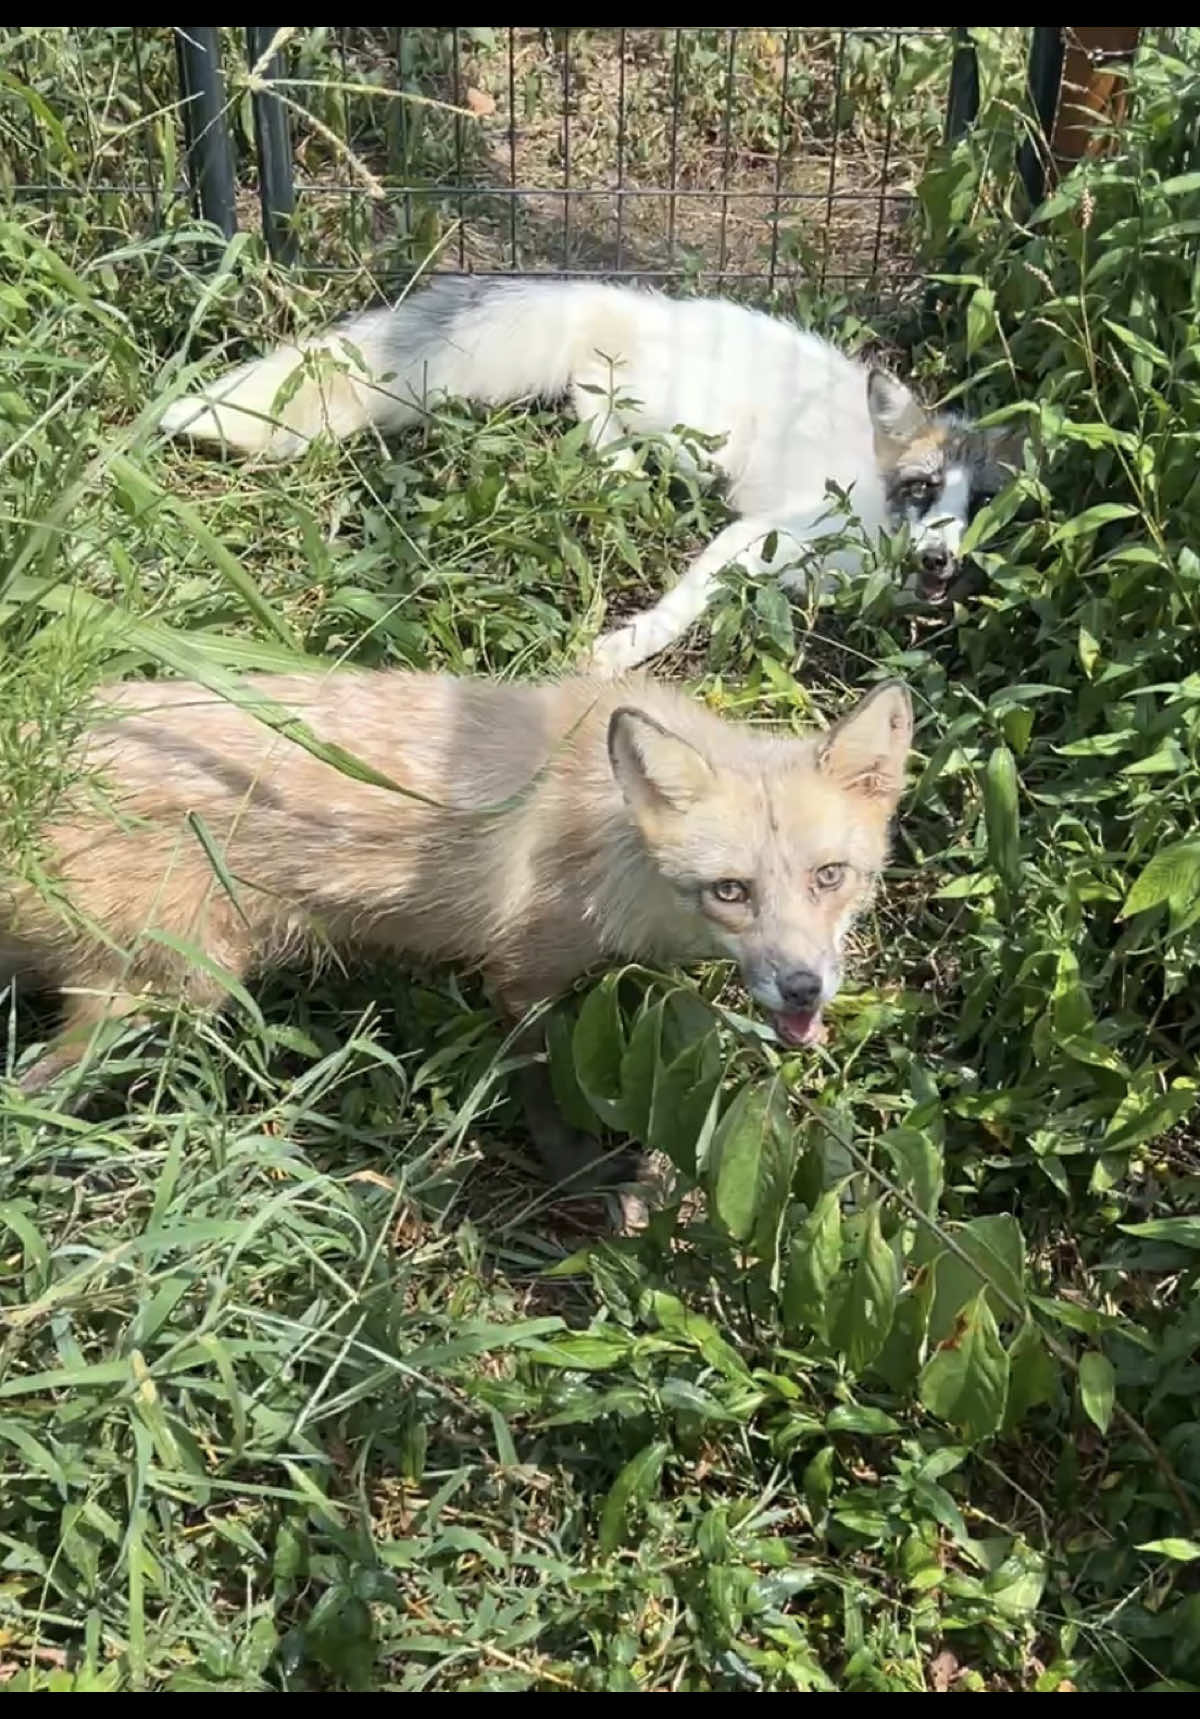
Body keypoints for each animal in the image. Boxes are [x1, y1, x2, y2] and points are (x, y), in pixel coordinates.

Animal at [1, 669, 913, 1191]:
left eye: (830, 877)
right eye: (731, 890)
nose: (802, 987)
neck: (608, 839)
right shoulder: (520, 971)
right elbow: (540, 1086)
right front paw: (579, 1175)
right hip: (169, 992)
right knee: (33, 1092)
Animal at [158, 278, 1023, 671]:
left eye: (982, 504)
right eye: (921, 489)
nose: (939, 559)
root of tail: (643, 304)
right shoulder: (761, 531)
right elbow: (685, 600)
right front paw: (620, 649)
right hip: (698, 438)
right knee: (587, 385)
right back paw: (617, 468)